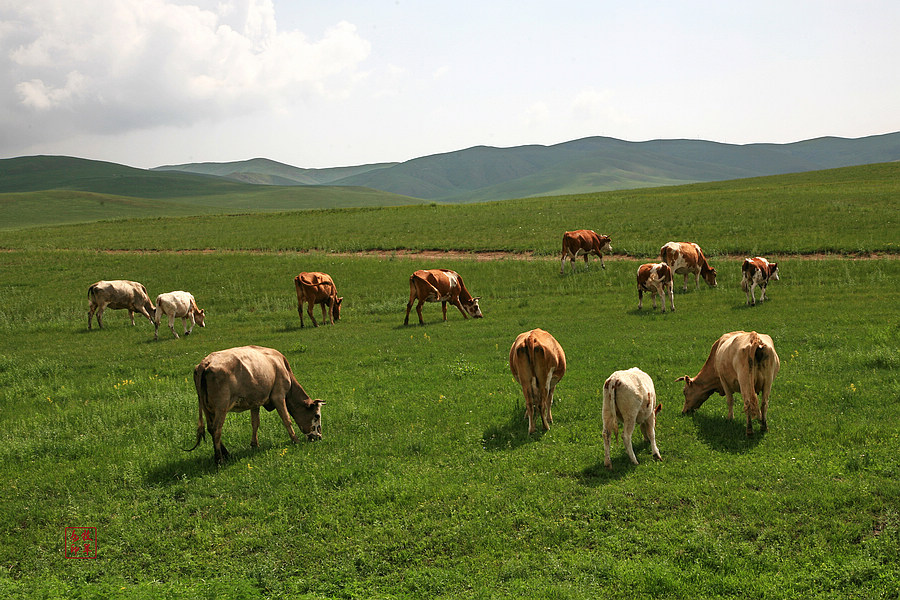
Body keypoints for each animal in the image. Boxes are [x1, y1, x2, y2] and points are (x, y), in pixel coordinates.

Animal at [188, 344, 326, 466]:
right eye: (317, 416)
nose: (319, 437)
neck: (281, 365)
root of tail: (206, 362)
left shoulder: (255, 402)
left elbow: (255, 423)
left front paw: (255, 444)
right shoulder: (278, 396)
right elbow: (286, 419)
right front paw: (295, 440)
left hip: (207, 408)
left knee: (210, 427)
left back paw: (226, 453)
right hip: (221, 406)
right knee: (216, 429)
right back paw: (219, 459)